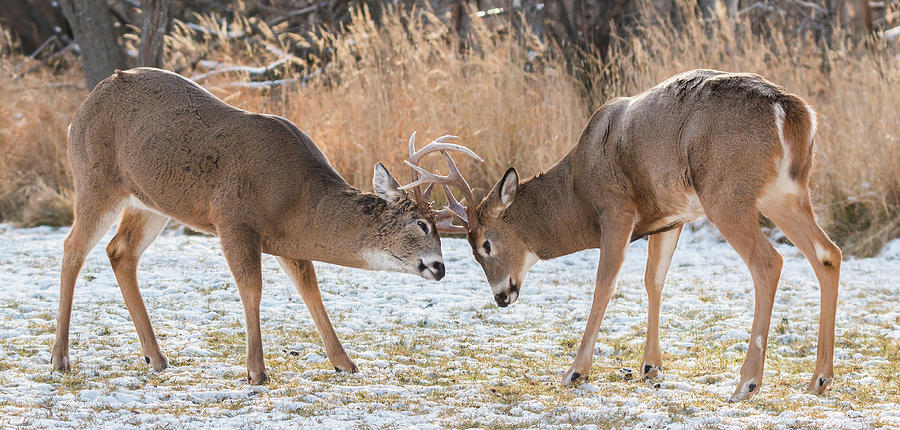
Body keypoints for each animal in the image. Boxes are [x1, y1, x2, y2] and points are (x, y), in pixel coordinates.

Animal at [51, 67, 482, 384]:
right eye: (421, 224)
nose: (439, 267)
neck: (299, 198)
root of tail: (76, 116)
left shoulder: (289, 242)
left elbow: (311, 292)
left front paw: (345, 362)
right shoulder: (233, 218)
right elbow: (252, 290)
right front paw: (257, 371)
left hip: (151, 202)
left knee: (119, 250)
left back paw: (155, 357)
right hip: (95, 178)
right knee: (72, 248)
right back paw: (61, 358)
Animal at [436, 69, 842, 401]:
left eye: (485, 245)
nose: (501, 296)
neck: (577, 189)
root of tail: (791, 111)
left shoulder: (616, 209)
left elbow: (605, 283)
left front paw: (575, 372)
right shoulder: (670, 219)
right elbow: (654, 280)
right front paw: (650, 367)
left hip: (726, 194)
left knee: (768, 261)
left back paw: (747, 383)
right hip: (785, 193)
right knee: (828, 254)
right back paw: (819, 379)